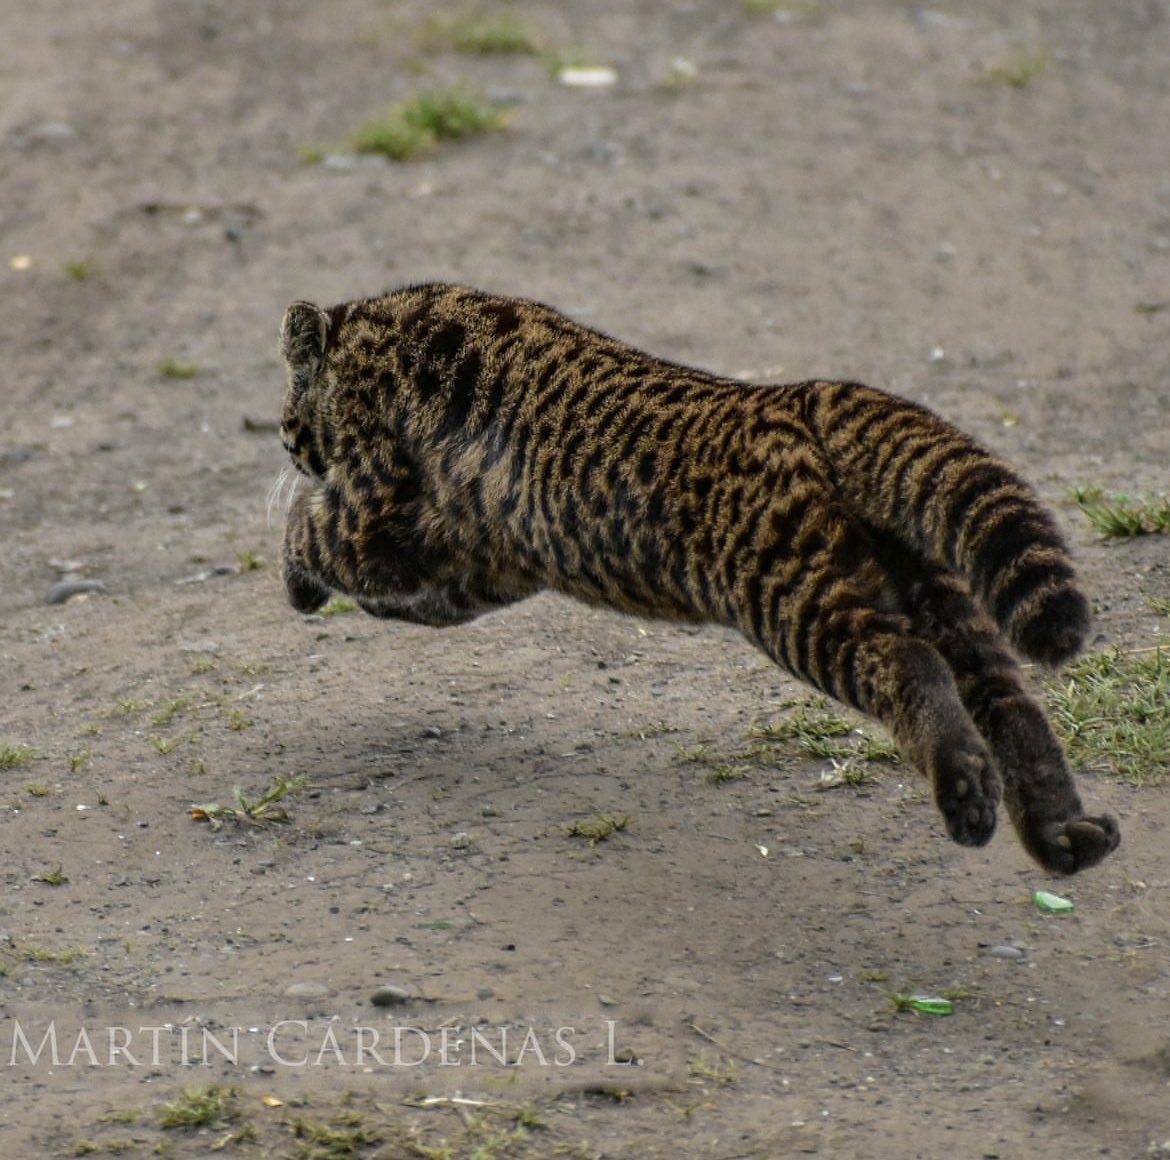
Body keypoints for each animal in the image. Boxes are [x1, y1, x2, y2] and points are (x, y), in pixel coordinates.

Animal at [277, 282, 1120, 875]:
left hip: (799, 602)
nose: (286, 442)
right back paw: (1064, 836)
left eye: (285, 411)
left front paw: (295, 576)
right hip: (936, 597)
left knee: (908, 666)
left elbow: (308, 529)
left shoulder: (377, 513)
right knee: (1013, 707)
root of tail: (802, 396)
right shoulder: (473, 565)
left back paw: (966, 795)